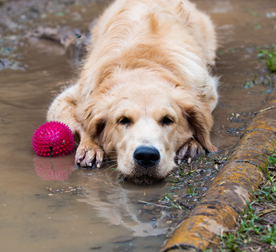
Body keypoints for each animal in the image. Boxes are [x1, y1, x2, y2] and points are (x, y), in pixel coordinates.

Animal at [46, 0, 218, 183]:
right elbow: (82, 123)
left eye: (168, 120)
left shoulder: (208, 91)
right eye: (123, 120)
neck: (142, 67)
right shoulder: (69, 98)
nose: (147, 156)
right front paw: (90, 146)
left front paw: (192, 143)